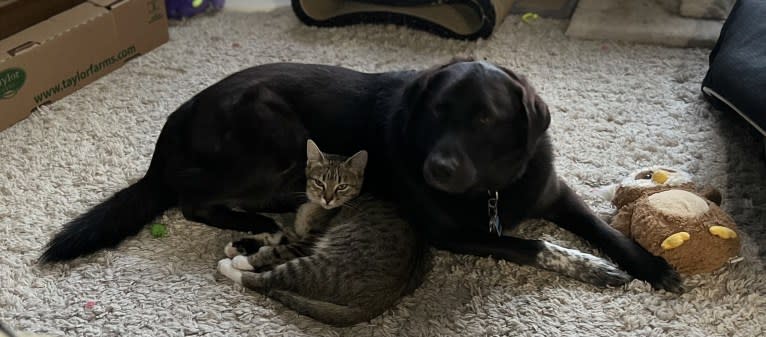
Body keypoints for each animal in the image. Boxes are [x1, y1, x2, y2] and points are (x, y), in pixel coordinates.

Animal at [40, 59, 684, 292]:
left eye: (484, 118)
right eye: (435, 113)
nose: (435, 168)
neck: (493, 187)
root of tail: (175, 122)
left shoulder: (553, 190)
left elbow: (604, 228)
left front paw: (648, 265)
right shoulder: (453, 234)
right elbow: (536, 245)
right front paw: (592, 268)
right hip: (271, 131)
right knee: (190, 198)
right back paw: (257, 218)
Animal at [218, 138, 432, 326]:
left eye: (342, 186)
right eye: (319, 182)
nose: (328, 199)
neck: (315, 207)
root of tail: (378, 303)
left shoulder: (307, 243)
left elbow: (277, 250)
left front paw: (245, 258)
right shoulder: (298, 234)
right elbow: (277, 236)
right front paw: (239, 245)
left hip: (319, 265)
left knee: (267, 281)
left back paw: (230, 265)